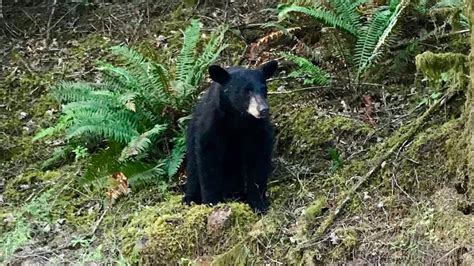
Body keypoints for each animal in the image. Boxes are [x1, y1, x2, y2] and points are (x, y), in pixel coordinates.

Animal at [182, 60, 278, 214]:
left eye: (264, 89)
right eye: (246, 91)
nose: (263, 109)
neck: (238, 117)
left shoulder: (258, 129)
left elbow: (259, 160)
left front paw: (258, 203)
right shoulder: (212, 123)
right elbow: (208, 159)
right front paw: (212, 201)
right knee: (193, 166)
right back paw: (190, 198)